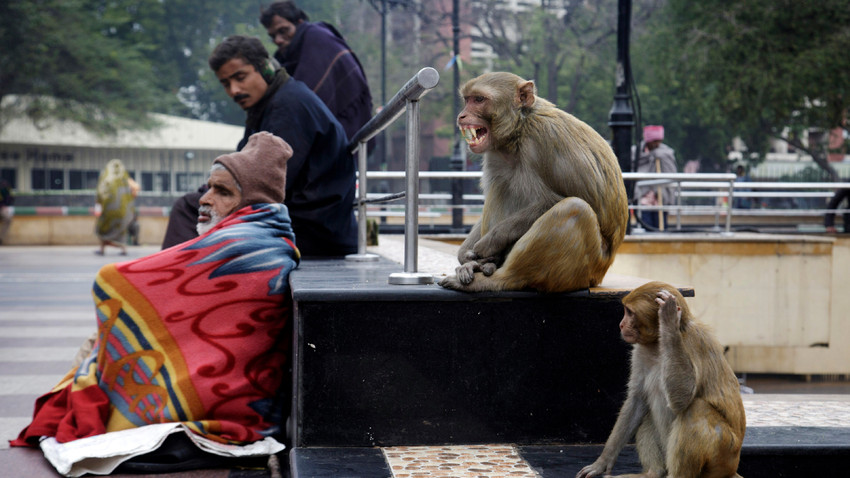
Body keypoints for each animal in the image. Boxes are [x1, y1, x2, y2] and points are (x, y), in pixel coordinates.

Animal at [438, 71, 628, 292]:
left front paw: (491, 241)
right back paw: (485, 265)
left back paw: (498, 279)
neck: (520, 129)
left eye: (478, 99)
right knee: (502, 184)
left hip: (587, 267)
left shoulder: (545, 138)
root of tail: (601, 273)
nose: (461, 115)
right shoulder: (495, 154)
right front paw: (467, 255)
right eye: (467, 100)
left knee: (575, 209)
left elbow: (556, 200)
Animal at [576, 282, 744, 478]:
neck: (658, 343)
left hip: (723, 455)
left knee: (696, 409)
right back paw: (652, 472)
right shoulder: (640, 351)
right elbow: (637, 400)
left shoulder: (694, 342)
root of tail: (732, 467)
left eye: (629, 312)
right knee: (648, 413)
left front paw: (669, 321)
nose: (621, 324)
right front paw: (602, 462)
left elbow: (683, 398)